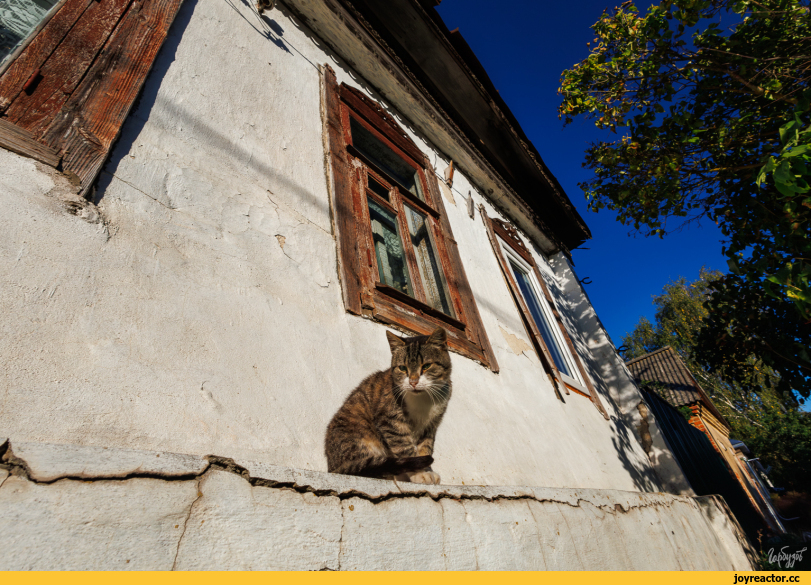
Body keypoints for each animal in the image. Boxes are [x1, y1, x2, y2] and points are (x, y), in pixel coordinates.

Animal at [324, 324, 454, 484]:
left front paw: (427, 471)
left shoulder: (431, 425)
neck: (422, 400)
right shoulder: (390, 421)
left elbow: (425, 448)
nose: (413, 381)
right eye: (402, 368)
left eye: (426, 366)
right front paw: (419, 474)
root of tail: (332, 467)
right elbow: (406, 448)